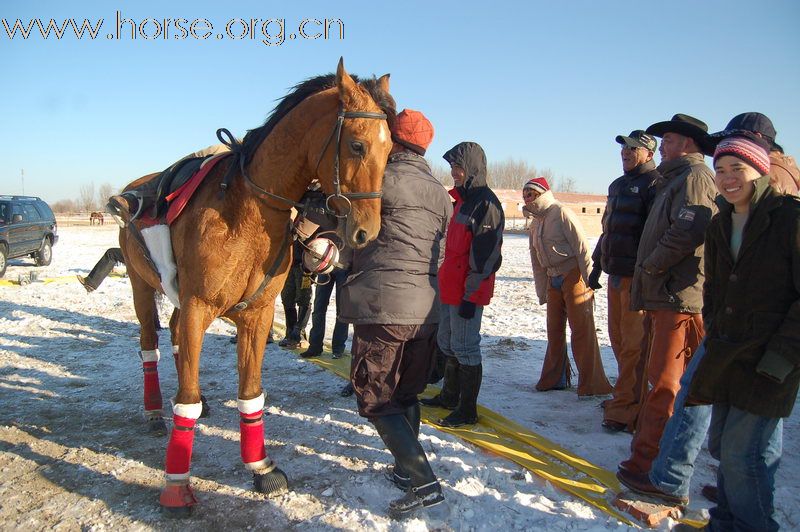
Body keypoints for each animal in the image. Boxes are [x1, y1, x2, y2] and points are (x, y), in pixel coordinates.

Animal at [116, 59, 394, 516]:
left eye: (389, 152)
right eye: (357, 145)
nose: (366, 232)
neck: (246, 210)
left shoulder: (257, 314)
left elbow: (250, 393)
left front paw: (261, 467)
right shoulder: (198, 305)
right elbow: (186, 399)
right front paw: (177, 484)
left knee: (174, 339)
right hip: (143, 288)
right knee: (150, 345)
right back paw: (155, 410)